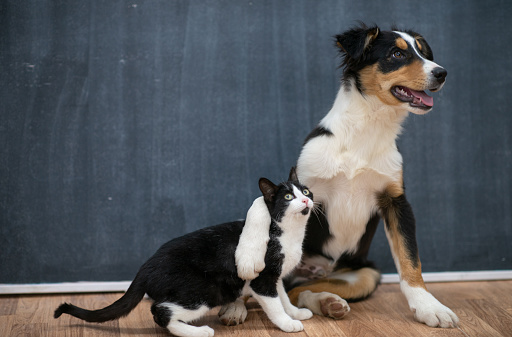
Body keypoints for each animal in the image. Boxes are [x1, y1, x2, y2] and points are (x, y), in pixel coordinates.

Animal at [55, 169, 312, 334]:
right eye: (288, 197)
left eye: (306, 192)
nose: (306, 201)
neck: (289, 234)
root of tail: (145, 267)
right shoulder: (262, 279)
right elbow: (274, 304)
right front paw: (287, 324)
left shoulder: (275, 277)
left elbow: (283, 297)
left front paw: (295, 313)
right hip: (205, 290)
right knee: (160, 311)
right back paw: (199, 332)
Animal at [226, 24, 458, 328]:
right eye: (396, 54)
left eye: (423, 53)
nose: (442, 73)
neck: (367, 129)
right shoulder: (299, 184)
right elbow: (259, 207)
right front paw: (248, 258)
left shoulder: (396, 200)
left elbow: (410, 259)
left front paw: (430, 307)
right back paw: (235, 308)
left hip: (365, 274)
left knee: (298, 291)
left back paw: (327, 302)